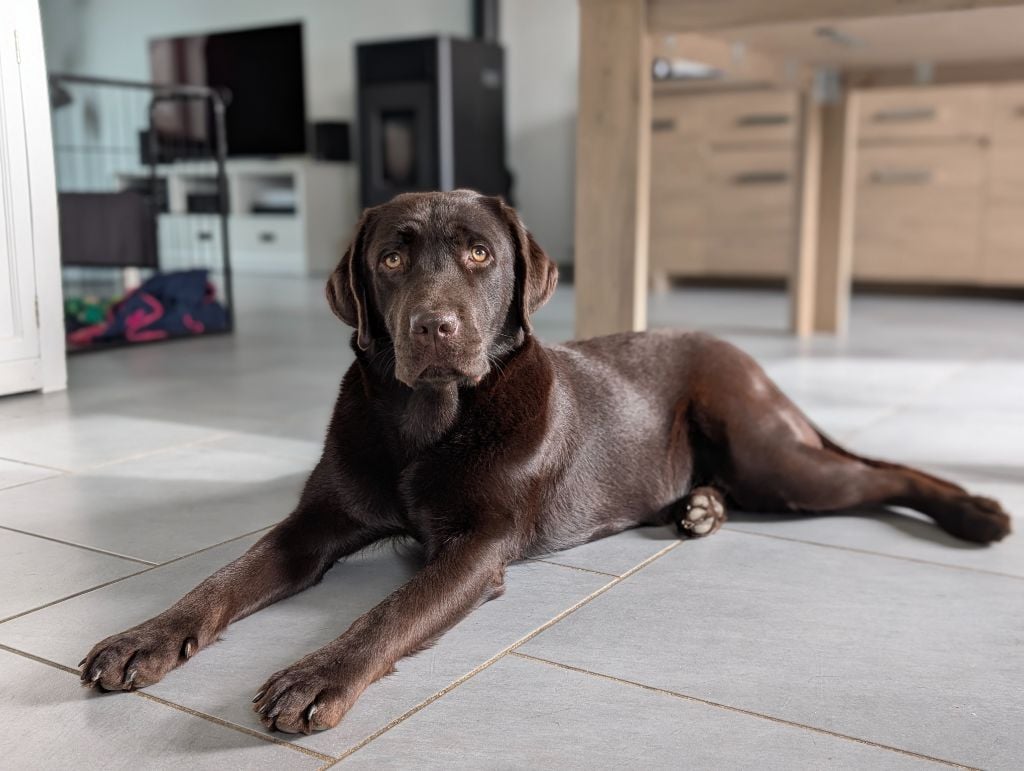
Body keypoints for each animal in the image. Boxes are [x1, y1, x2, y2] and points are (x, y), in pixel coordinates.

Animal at [77, 189, 1007, 729]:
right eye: (391, 257)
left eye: (480, 254)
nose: (435, 326)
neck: (428, 422)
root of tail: (745, 357)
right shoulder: (315, 522)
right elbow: (222, 580)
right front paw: (142, 637)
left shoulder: (478, 546)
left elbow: (388, 613)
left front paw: (316, 674)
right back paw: (698, 507)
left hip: (771, 453)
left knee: (885, 475)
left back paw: (978, 512)